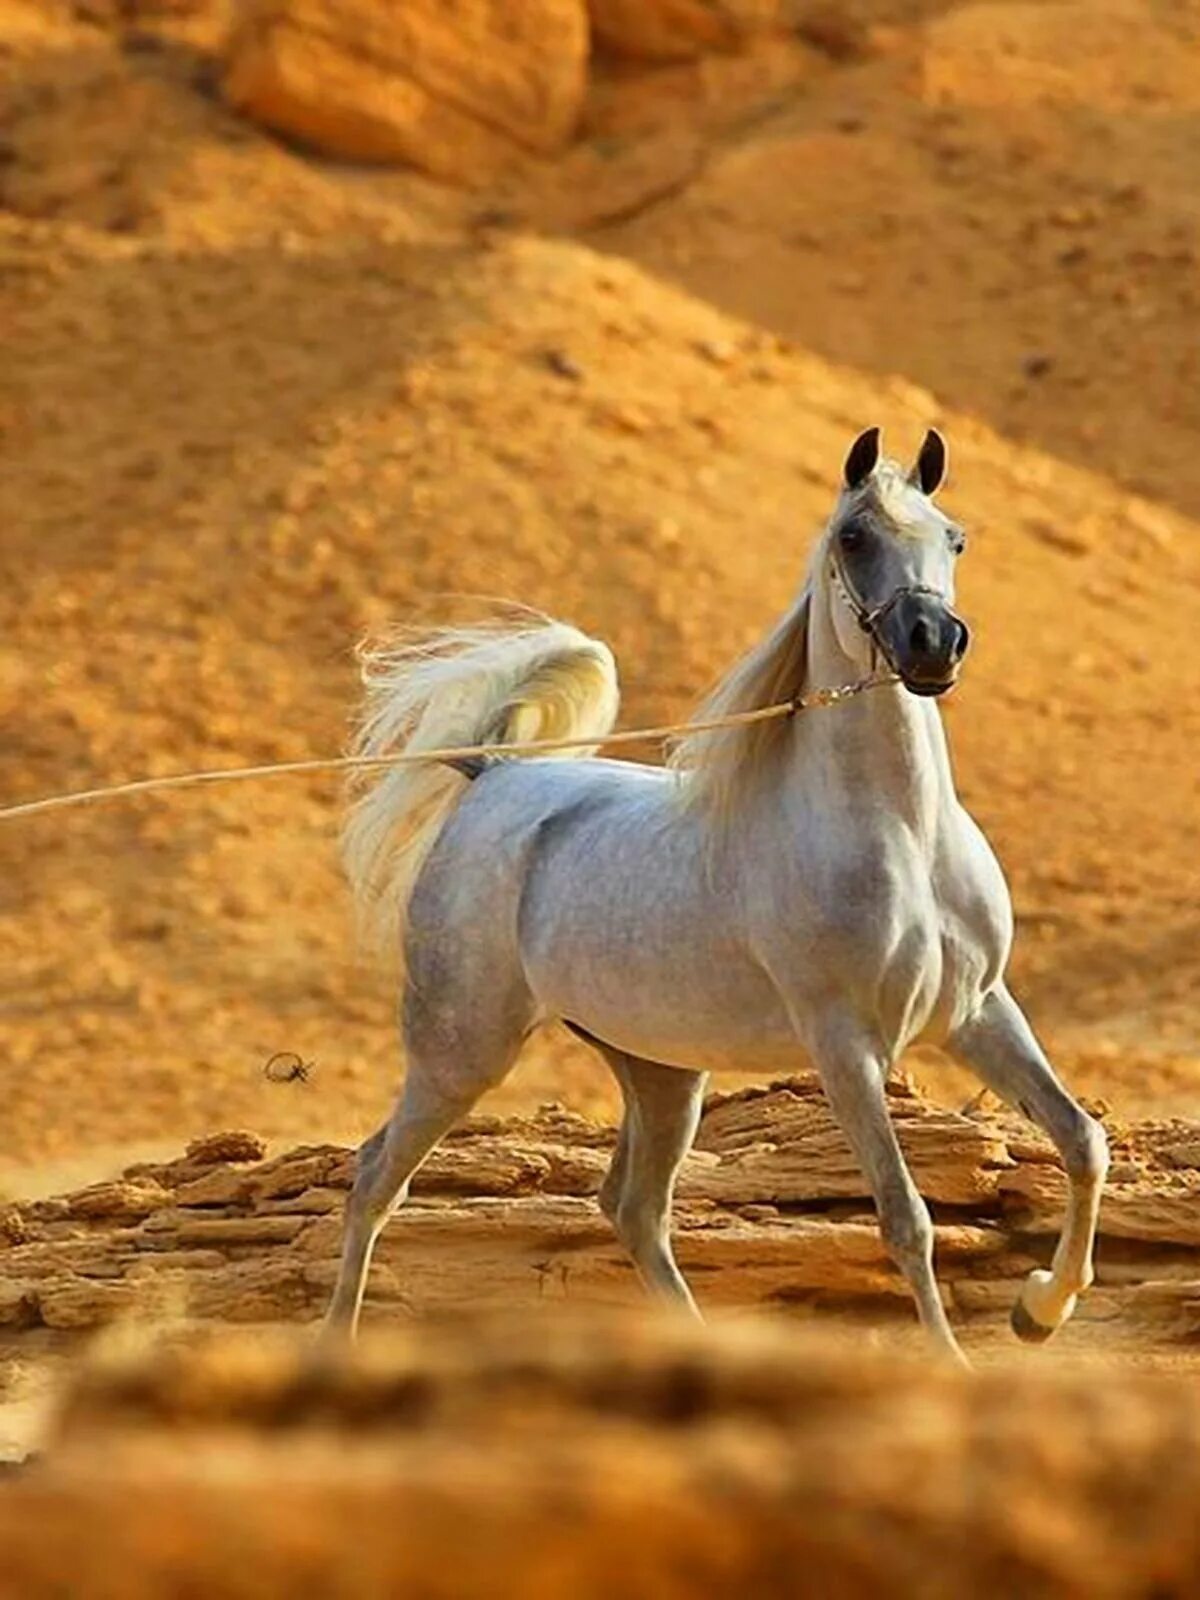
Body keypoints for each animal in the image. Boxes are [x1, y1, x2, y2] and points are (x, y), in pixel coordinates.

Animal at [326, 428, 1107, 1363]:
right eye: (853, 537)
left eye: (953, 539)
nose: (933, 644)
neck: (903, 837)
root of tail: (493, 776)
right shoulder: (845, 1045)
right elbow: (905, 1217)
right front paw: (960, 1359)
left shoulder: (978, 1010)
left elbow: (1081, 1140)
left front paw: (1040, 1309)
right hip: (461, 1051)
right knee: (376, 1175)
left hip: (660, 1070)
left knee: (634, 1210)